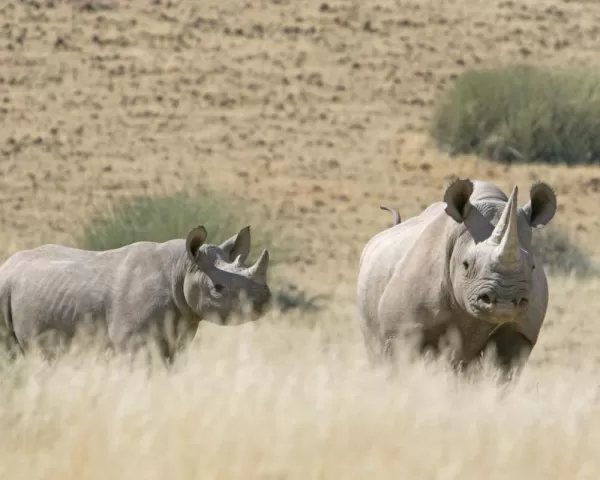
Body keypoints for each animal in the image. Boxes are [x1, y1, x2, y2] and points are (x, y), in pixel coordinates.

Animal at [0, 225, 272, 360]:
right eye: (217, 289)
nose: (264, 300)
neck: (182, 267)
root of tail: (6, 264)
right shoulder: (132, 344)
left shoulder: (178, 337)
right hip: (4, 289)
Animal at [356, 178, 556, 380]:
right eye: (466, 264)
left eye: (532, 267)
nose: (504, 304)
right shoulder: (401, 328)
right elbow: (401, 366)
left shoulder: (521, 331)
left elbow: (502, 372)